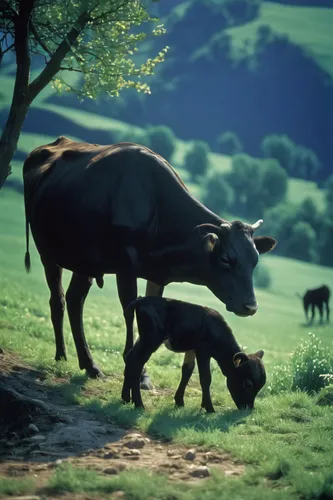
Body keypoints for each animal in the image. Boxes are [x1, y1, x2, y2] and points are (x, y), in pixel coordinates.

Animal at [120, 296, 264, 410]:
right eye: (248, 384)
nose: (249, 408)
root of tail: (141, 300)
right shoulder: (203, 350)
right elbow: (206, 378)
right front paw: (209, 408)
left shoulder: (192, 349)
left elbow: (187, 371)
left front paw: (179, 402)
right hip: (150, 340)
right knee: (137, 363)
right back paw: (139, 404)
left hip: (143, 339)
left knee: (130, 358)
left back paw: (126, 398)